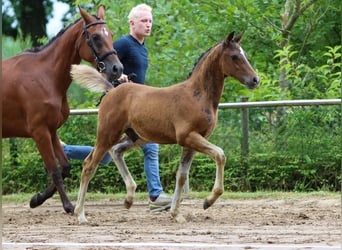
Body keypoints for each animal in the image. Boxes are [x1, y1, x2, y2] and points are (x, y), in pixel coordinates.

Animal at [1, 5, 123, 215]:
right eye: (96, 37)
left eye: (111, 34)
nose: (117, 68)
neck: (45, 77)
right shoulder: (39, 132)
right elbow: (55, 171)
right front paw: (68, 205)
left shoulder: (52, 130)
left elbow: (65, 167)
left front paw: (37, 199)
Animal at [71, 30, 260, 223]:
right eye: (235, 56)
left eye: (244, 54)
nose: (255, 80)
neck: (198, 95)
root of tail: (111, 89)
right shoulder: (188, 136)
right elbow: (220, 155)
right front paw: (208, 201)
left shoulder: (192, 142)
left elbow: (182, 176)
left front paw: (176, 213)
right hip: (107, 134)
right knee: (89, 165)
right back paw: (81, 214)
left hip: (136, 137)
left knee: (116, 151)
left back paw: (129, 198)